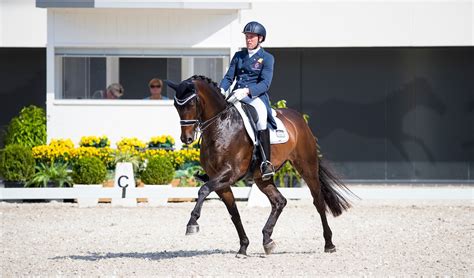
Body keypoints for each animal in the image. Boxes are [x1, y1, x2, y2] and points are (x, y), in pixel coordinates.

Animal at [167, 75, 352, 256]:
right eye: (176, 105)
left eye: (192, 103)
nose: (186, 139)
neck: (221, 126)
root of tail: (298, 118)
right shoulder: (219, 180)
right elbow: (233, 212)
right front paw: (243, 247)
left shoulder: (230, 173)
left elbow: (203, 190)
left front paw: (192, 223)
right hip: (262, 178)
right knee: (279, 201)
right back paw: (267, 240)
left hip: (307, 167)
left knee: (318, 201)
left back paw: (329, 244)